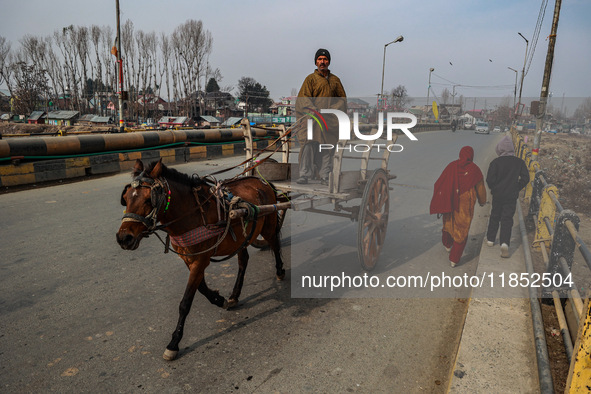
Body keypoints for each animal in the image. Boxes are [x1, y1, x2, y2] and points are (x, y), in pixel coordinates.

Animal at [116, 159, 284, 360]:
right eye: (125, 198)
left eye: (149, 200)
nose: (124, 238)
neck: (191, 214)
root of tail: (262, 182)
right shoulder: (189, 259)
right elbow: (202, 287)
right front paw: (219, 299)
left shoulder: (201, 260)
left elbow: (185, 302)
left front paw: (174, 342)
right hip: (242, 237)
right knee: (243, 260)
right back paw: (234, 295)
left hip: (268, 224)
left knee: (275, 243)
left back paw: (280, 270)